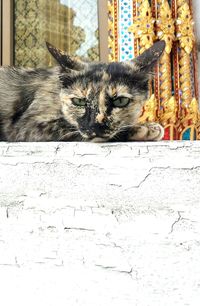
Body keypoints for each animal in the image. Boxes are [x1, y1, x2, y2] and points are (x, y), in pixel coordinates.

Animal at [0, 39, 165, 143]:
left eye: (120, 101)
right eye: (78, 101)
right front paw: (145, 128)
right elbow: (66, 125)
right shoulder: (26, 125)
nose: (94, 127)